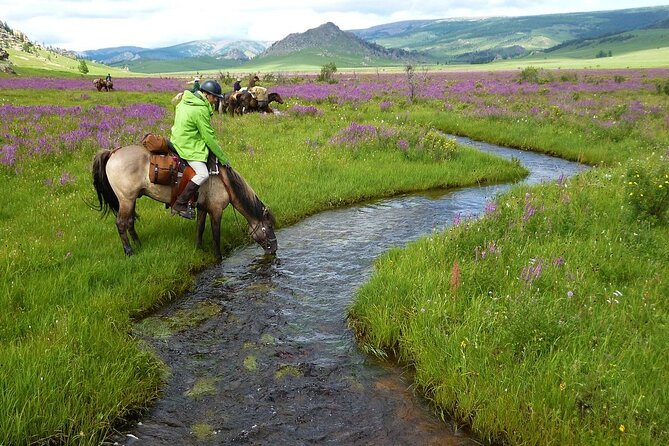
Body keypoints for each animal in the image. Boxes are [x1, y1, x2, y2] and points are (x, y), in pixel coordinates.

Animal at [91, 145, 277, 259]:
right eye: (269, 226)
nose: (274, 250)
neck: (225, 183)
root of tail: (113, 152)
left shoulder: (203, 208)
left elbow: (200, 229)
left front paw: (199, 249)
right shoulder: (216, 211)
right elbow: (216, 236)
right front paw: (218, 257)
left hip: (131, 200)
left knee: (129, 222)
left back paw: (139, 244)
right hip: (126, 199)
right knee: (121, 223)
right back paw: (129, 251)